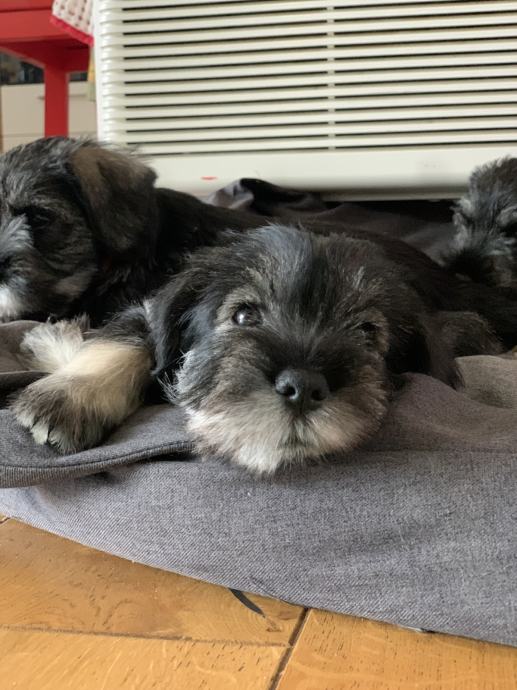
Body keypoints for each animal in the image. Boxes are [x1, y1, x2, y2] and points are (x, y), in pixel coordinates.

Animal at [13, 224, 517, 475]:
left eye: (367, 333)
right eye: (243, 316)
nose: (303, 387)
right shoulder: (149, 312)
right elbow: (129, 341)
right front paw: (66, 396)